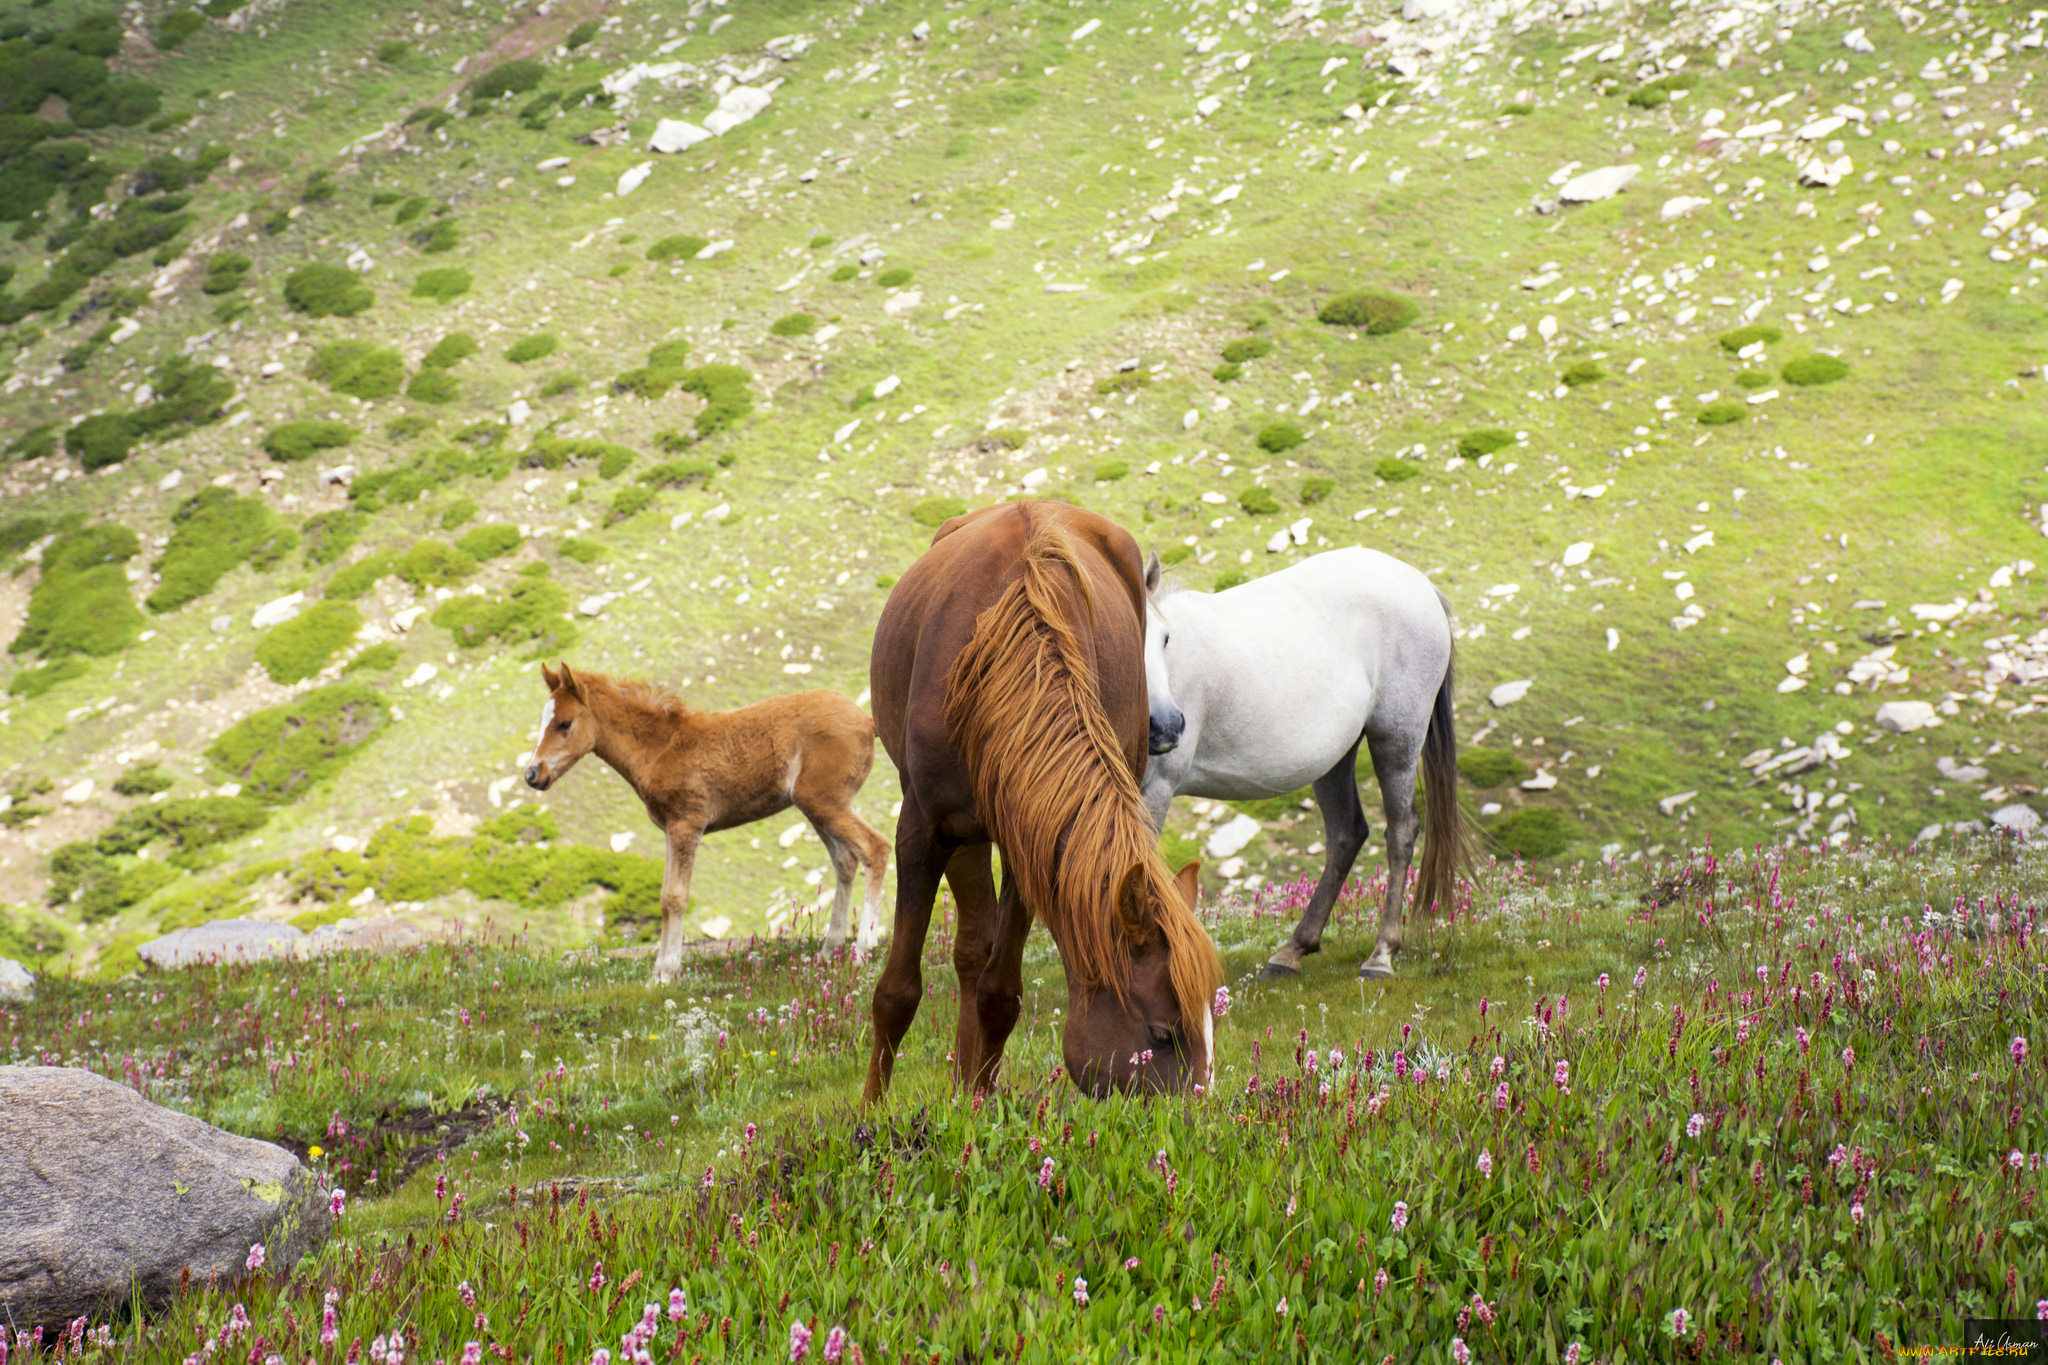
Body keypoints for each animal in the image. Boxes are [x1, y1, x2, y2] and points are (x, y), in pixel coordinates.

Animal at [520, 663, 888, 978]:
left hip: (824, 801)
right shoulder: (670, 830)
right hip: (818, 806)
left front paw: (667, 973)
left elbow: (676, 897)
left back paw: (863, 947)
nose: (533, 774)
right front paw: (658, 972)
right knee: (846, 861)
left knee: (876, 847)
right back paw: (829, 951)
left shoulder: (687, 823)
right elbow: (664, 898)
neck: (661, 749)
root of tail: (868, 721)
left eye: (564, 723)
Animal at [860, 497, 1212, 1105]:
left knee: (977, 957)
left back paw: (966, 1084)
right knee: (968, 949)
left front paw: (977, 1100)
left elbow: (1000, 991)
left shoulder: (1035, 838)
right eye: (1163, 1034)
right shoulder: (922, 833)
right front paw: (870, 1112)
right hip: (962, 834)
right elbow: (897, 991)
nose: (1206, 1117)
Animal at [1146, 548, 1466, 982]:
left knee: (1401, 831)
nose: (1165, 727)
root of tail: (1422, 585)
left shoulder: (1155, 790)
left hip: (1397, 739)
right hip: (1336, 759)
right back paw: (1294, 950)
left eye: (1165, 639)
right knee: (1347, 834)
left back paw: (1380, 956)